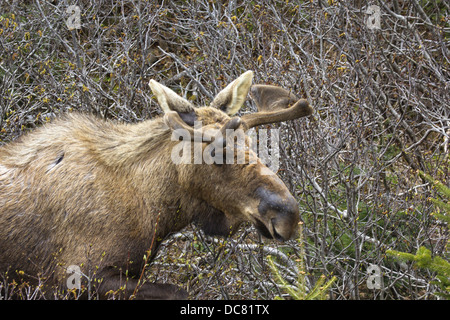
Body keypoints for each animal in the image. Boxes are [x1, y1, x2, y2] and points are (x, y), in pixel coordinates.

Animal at [0, 71, 312, 298]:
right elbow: (178, 291)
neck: (154, 208)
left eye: (250, 143)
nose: (287, 213)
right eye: (214, 153)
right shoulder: (74, 276)